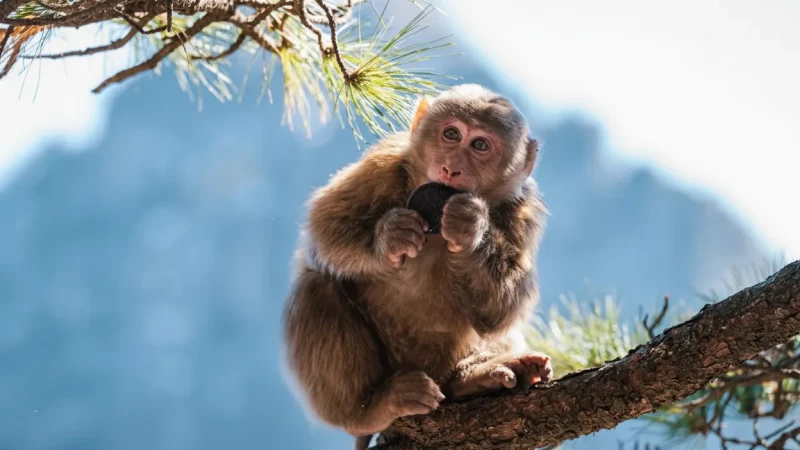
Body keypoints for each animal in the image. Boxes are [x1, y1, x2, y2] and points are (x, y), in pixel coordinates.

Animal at [282, 84, 552, 450]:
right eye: (451, 134)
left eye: (480, 145)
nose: (451, 168)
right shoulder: (384, 162)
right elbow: (325, 227)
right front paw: (389, 238)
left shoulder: (524, 209)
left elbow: (501, 314)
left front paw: (472, 228)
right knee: (316, 287)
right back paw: (368, 408)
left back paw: (475, 378)